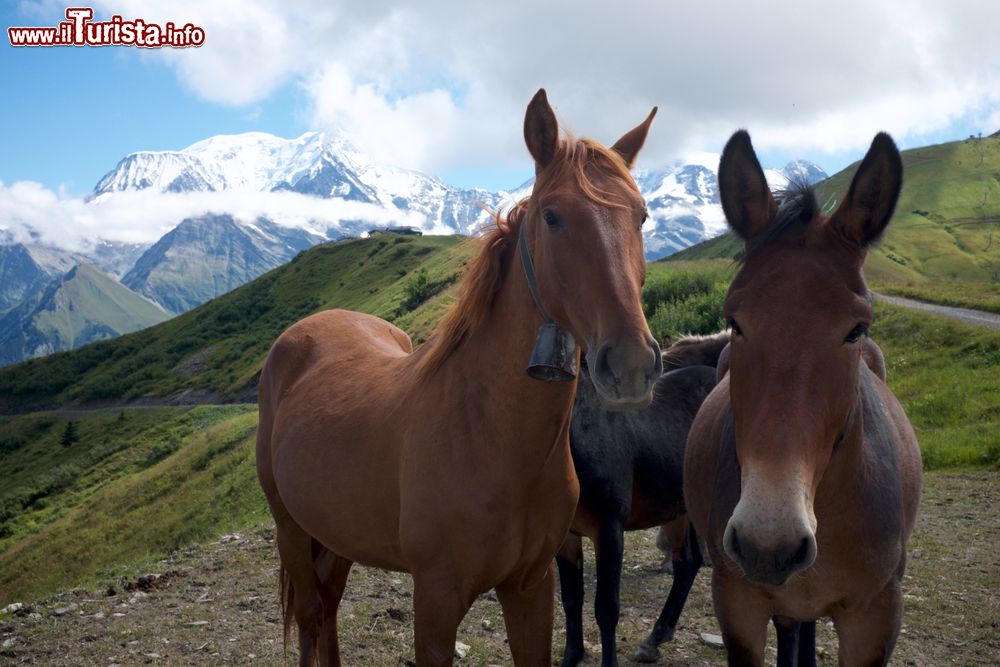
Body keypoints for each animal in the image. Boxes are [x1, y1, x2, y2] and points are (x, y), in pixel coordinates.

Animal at [256, 90, 664, 667]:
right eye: (552, 216)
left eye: (642, 217)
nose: (630, 365)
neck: (490, 436)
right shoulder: (436, 599)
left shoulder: (531, 588)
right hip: (290, 525)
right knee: (313, 614)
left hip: (336, 531)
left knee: (329, 604)